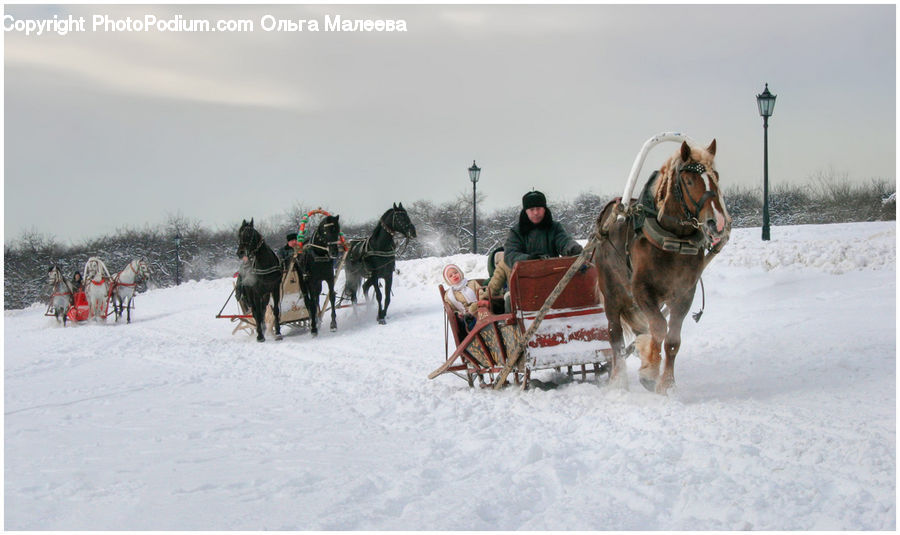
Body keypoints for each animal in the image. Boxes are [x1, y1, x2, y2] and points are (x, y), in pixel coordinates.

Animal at [596, 140, 732, 396]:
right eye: (689, 180)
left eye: (716, 177)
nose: (717, 223)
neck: (673, 241)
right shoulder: (641, 290)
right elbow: (659, 327)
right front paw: (649, 373)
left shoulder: (684, 294)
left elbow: (672, 340)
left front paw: (667, 384)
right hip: (612, 293)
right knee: (614, 335)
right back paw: (619, 380)